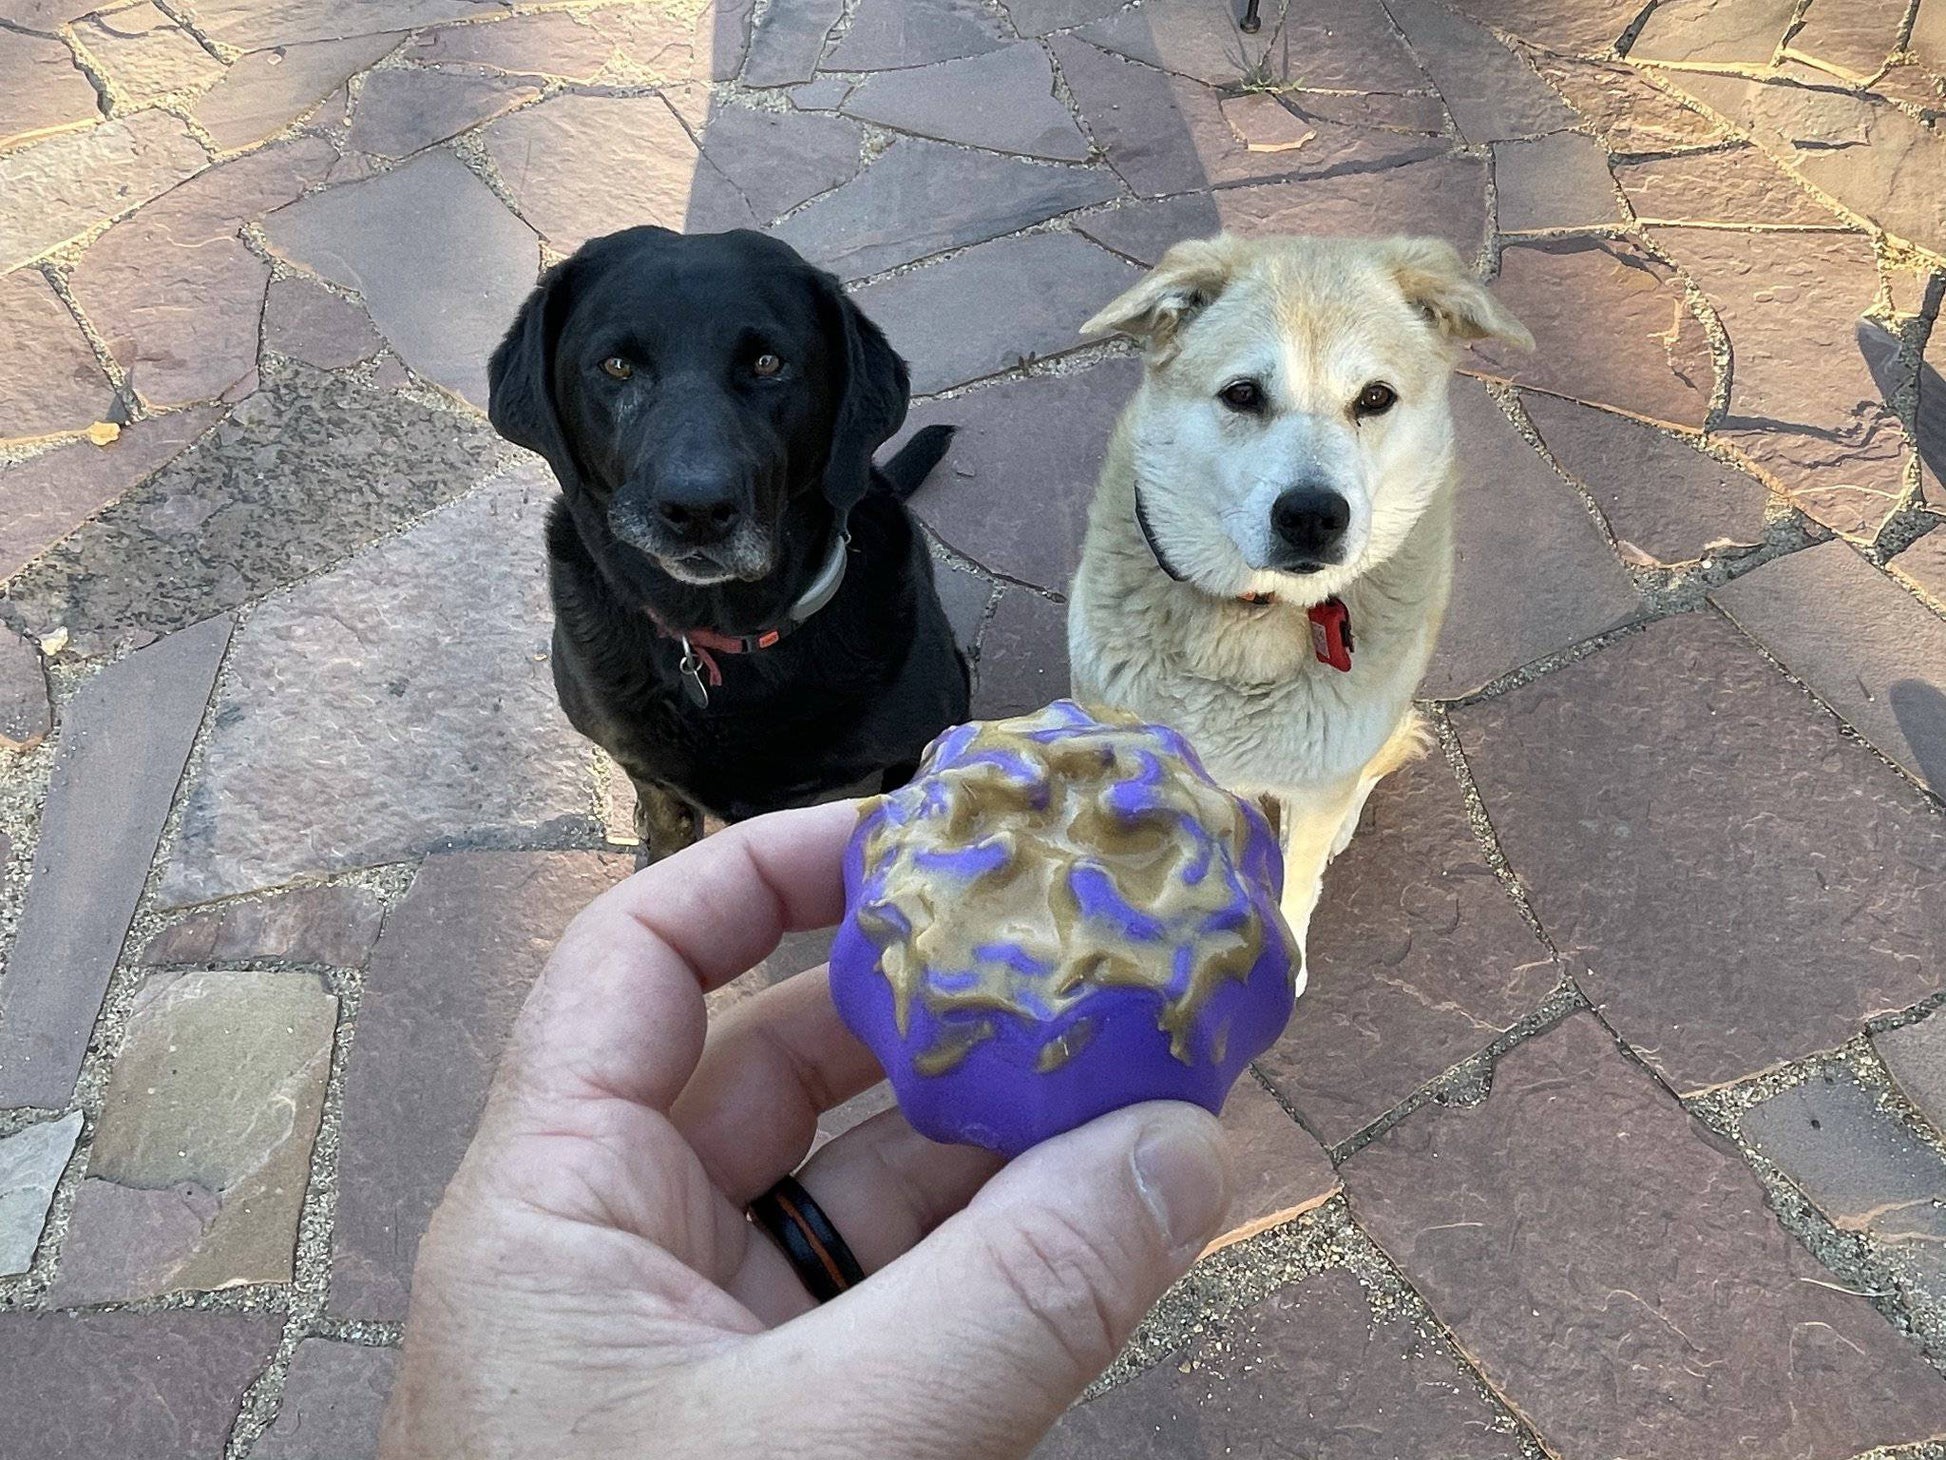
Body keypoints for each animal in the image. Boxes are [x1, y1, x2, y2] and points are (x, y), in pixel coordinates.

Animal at [490, 225, 969, 856]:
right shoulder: (645, 768)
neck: (722, 629)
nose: (697, 510)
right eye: (616, 365)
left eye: (767, 363)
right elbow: (668, 828)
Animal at [1066, 234, 1533, 988]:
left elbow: (1297, 878)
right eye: (1242, 394)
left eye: (1375, 398)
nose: (1313, 516)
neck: (1253, 618)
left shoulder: (1319, 780)